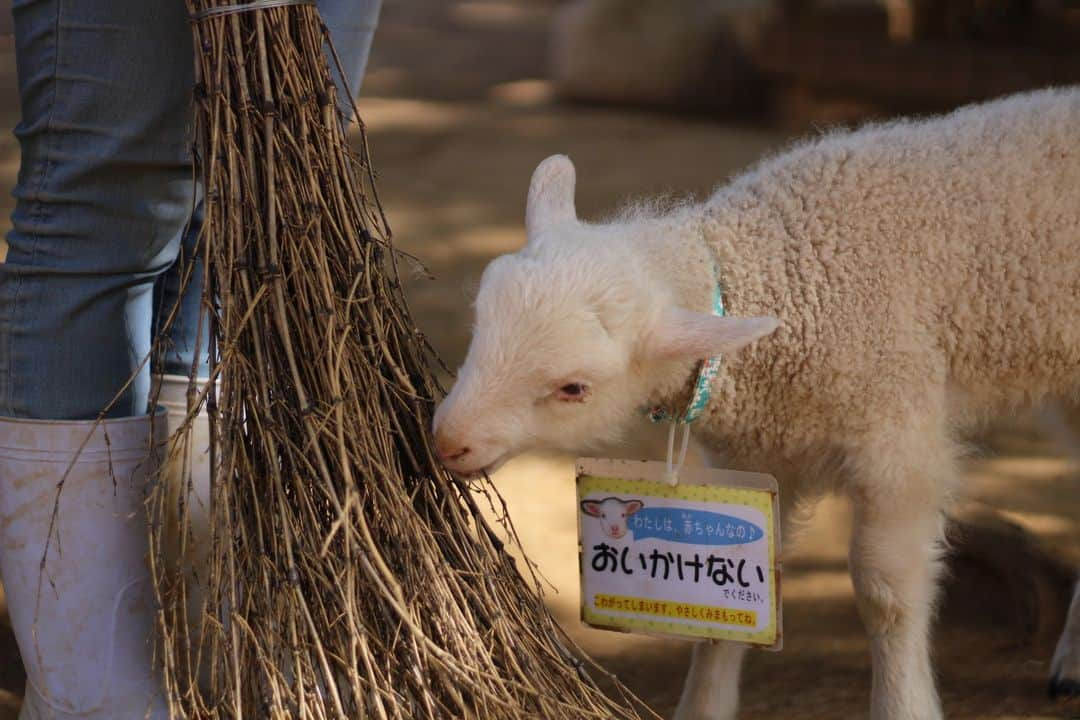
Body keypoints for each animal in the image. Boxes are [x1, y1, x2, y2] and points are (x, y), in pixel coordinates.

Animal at [429, 88, 1080, 720]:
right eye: (478, 322)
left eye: (573, 388)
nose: (447, 440)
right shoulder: (762, 455)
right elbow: (731, 596)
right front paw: (703, 707)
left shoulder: (896, 432)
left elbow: (887, 594)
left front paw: (904, 704)